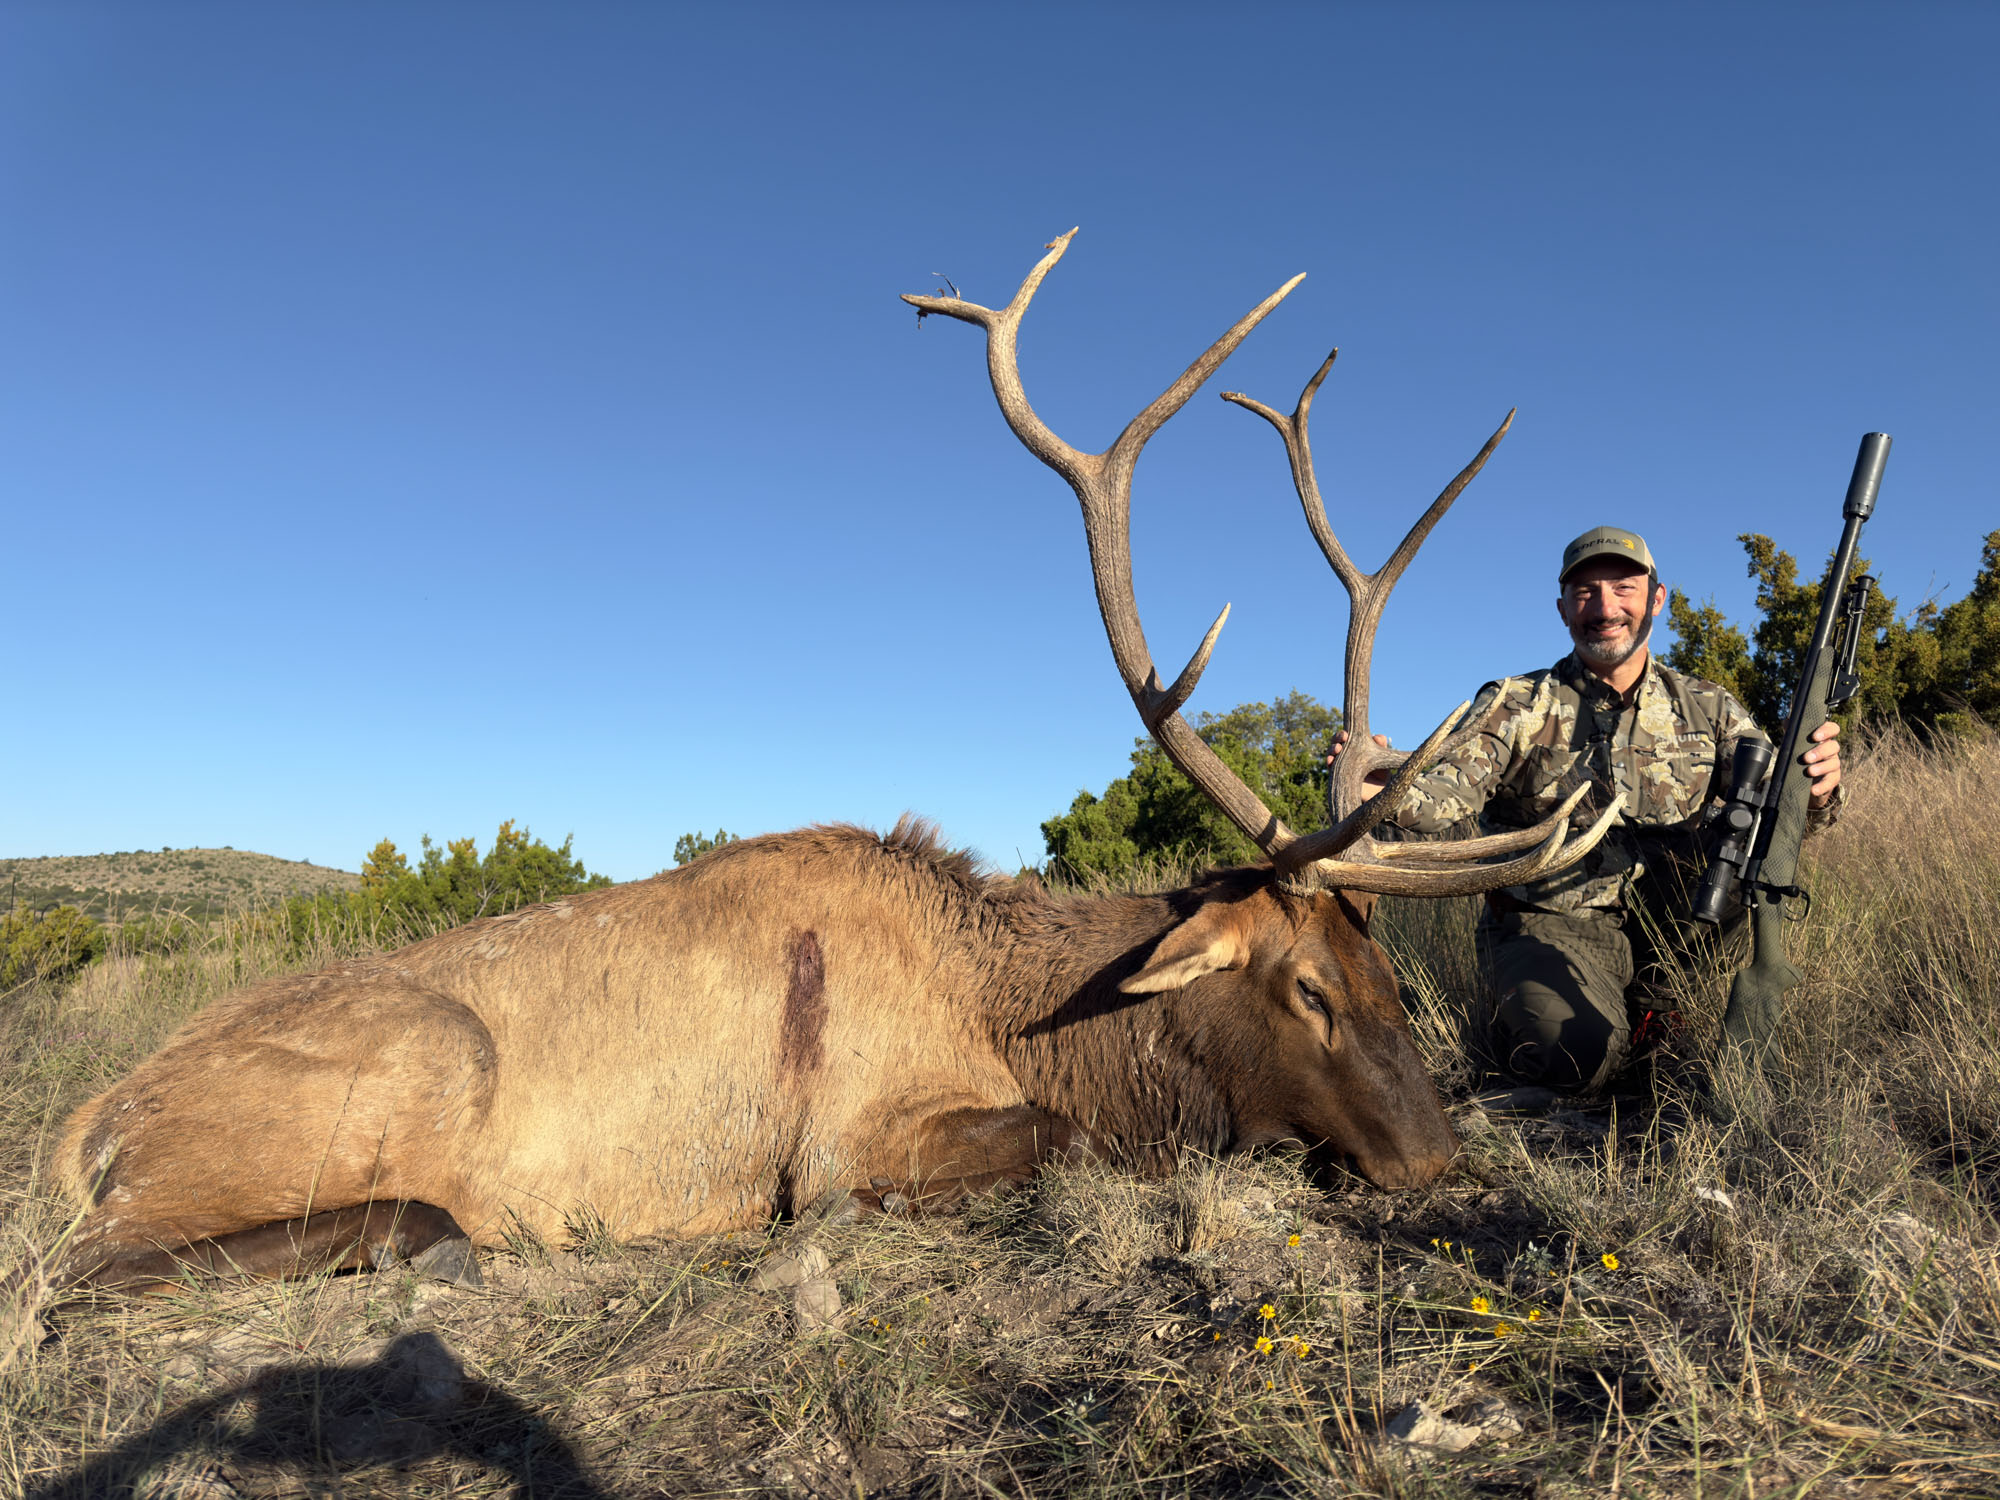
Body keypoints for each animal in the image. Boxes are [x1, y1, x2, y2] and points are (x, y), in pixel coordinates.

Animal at [42, 229, 1617, 1296]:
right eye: (1304, 988)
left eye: (1384, 973)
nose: (1436, 1160)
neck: (1021, 1007)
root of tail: (82, 1125)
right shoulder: (854, 1136)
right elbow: (1049, 1146)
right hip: (414, 1064)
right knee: (85, 1271)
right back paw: (437, 1245)